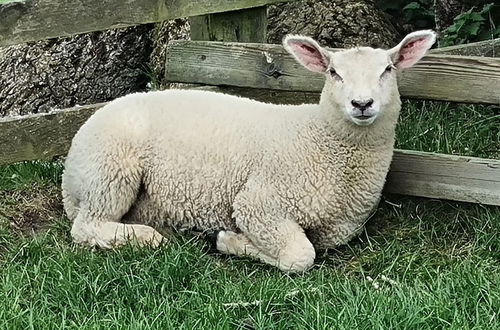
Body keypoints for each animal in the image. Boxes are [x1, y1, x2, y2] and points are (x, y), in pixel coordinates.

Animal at [62, 29, 436, 272]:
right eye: (333, 72)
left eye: (388, 69)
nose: (362, 104)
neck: (324, 141)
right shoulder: (259, 204)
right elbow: (300, 256)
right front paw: (231, 241)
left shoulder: (342, 227)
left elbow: (315, 245)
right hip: (110, 170)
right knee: (87, 226)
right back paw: (147, 238)